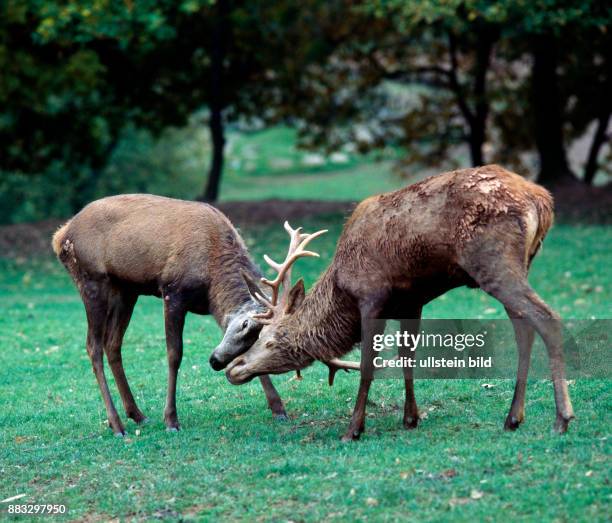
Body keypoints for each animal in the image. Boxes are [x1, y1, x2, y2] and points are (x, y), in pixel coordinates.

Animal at [50, 194, 290, 436]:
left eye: (261, 339)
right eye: (244, 325)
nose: (215, 361)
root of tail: (60, 236)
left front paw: (278, 408)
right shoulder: (172, 292)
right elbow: (174, 354)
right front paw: (171, 420)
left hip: (126, 290)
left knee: (112, 343)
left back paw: (136, 414)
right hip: (92, 281)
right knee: (93, 346)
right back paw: (117, 424)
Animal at [219, 166, 572, 440]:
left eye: (270, 339)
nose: (234, 368)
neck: (342, 287)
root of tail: (542, 200)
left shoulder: (372, 296)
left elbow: (367, 366)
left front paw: (353, 429)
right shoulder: (411, 302)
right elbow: (407, 357)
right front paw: (410, 418)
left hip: (493, 261)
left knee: (547, 317)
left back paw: (562, 418)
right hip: (519, 264)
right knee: (524, 330)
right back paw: (513, 418)